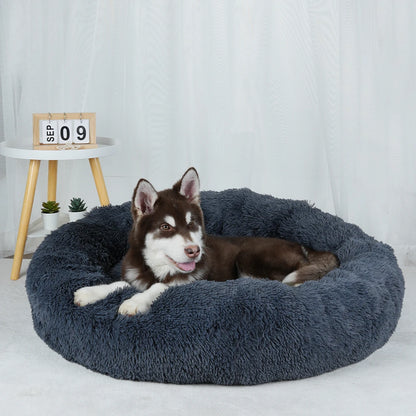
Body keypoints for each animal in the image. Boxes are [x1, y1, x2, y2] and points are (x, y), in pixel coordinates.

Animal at [75, 167, 340, 316]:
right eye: (166, 227)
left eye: (192, 223)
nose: (194, 251)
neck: (156, 268)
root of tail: (304, 246)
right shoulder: (133, 273)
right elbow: (118, 283)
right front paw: (90, 292)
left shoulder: (187, 281)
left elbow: (158, 287)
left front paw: (135, 302)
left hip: (249, 256)